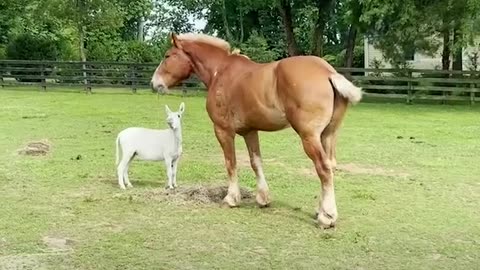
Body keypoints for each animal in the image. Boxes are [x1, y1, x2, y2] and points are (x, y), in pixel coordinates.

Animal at [152, 33, 362, 228]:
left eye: (167, 55)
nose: (155, 83)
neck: (220, 72)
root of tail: (328, 72)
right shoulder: (250, 131)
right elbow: (256, 162)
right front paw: (263, 198)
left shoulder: (223, 131)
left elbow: (231, 163)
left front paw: (231, 198)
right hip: (327, 135)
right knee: (330, 166)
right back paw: (320, 210)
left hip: (309, 137)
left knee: (323, 169)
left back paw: (327, 217)